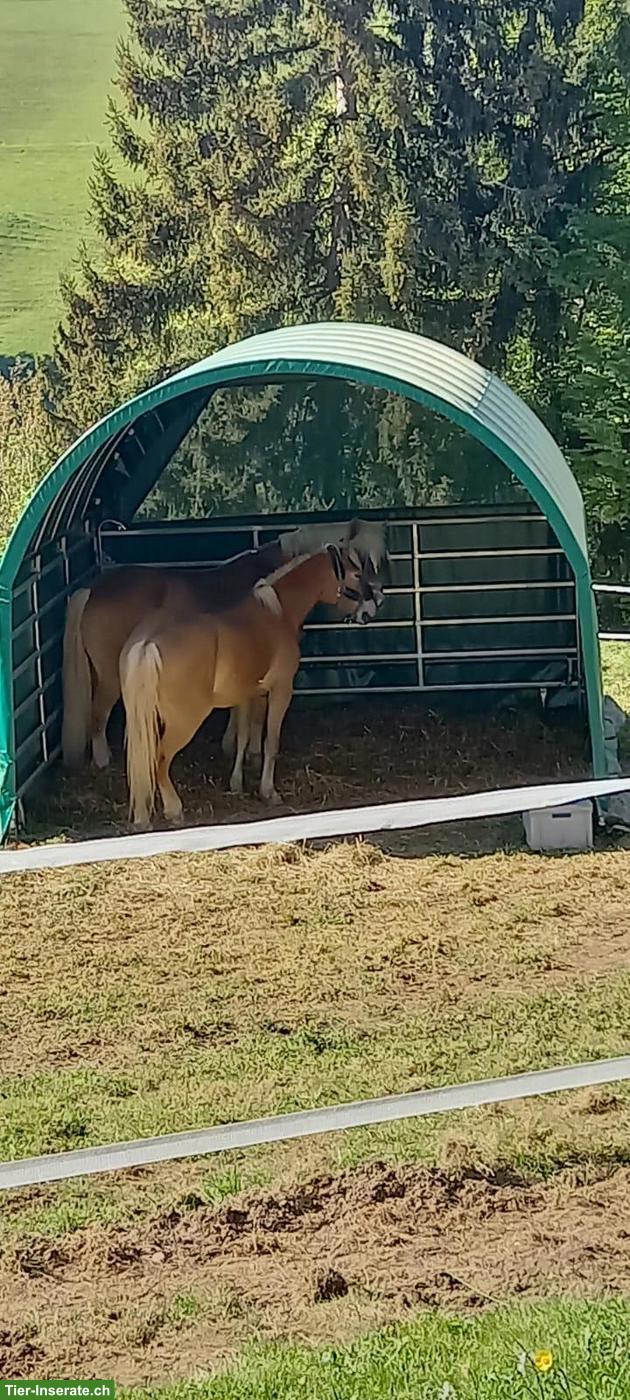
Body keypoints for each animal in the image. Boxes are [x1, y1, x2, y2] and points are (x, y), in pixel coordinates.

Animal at [62, 518, 386, 771]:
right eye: (358, 570)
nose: (373, 607)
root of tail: (93, 589)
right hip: (112, 676)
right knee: (98, 713)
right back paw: (104, 760)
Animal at [120, 545, 375, 828]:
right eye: (356, 574)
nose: (370, 609)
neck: (277, 614)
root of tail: (147, 642)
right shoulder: (280, 691)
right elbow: (270, 741)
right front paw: (269, 792)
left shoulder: (245, 695)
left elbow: (242, 737)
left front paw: (236, 783)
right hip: (184, 721)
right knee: (160, 760)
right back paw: (174, 810)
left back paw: (143, 818)